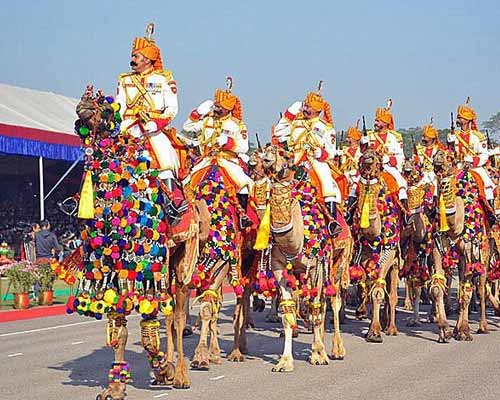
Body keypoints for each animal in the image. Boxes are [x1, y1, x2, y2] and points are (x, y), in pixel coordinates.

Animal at [258, 144, 352, 372]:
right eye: (266, 149)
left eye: (284, 154)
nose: (266, 158)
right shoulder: (279, 267)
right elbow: (288, 312)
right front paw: (284, 362)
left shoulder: (318, 264)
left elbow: (316, 307)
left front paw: (318, 355)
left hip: (339, 260)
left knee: (333, 300)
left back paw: (337, 349)